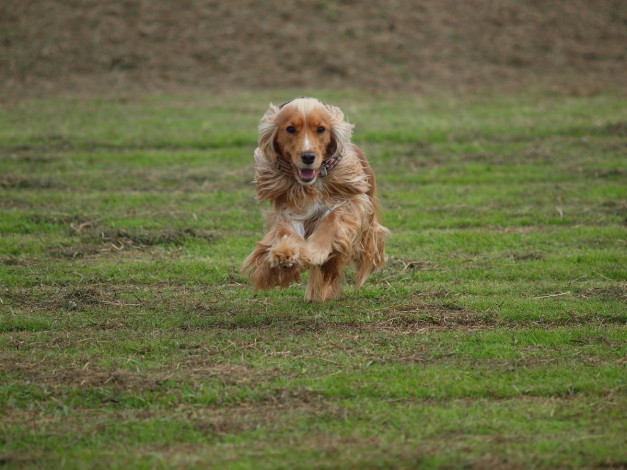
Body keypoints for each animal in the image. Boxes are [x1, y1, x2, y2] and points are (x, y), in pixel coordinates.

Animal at [243, 98, 390, 302]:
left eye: (321, 129)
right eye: (290, 129)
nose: (308, 156)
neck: (312, 184)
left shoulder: (355, 201)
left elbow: (333, 219)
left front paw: (315, 250)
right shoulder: (290, 208)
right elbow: (286, 230)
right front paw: (284, 254)